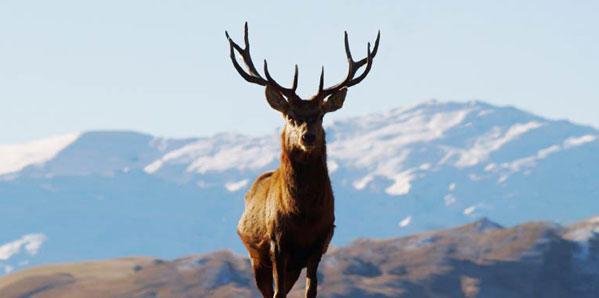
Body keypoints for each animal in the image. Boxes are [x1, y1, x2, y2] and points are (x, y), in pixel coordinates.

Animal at [225, 23, 380, 298]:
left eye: (320, 115)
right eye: (291, 116)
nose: (308, 136)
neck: (303, 216)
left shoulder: (319, 243)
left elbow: (311, 291)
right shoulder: (277, 241)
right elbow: (278, 293)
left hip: (292, 265)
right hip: (256, 257)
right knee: (269, 291)